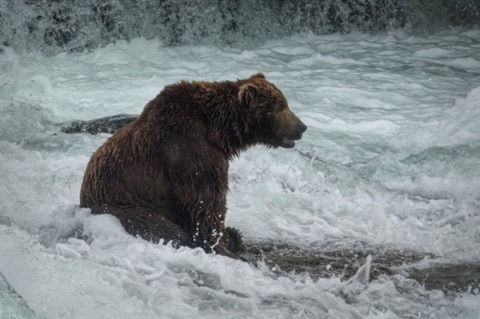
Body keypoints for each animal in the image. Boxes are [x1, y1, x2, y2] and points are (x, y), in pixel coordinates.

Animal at [78, 74, 304, 262]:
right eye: (281, 105)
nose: (302, 127)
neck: (219, 132)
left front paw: (231, 236)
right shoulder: (190, 155)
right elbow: (205, 204)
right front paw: (223, 247)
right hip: (124, 204)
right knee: (160, 226)